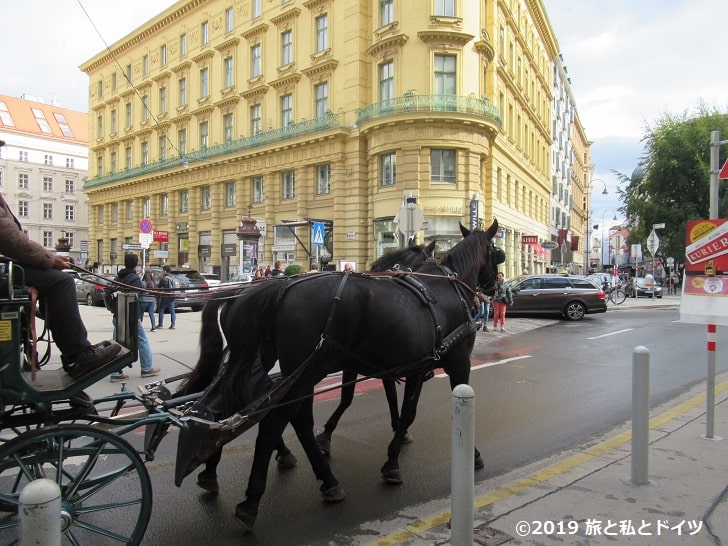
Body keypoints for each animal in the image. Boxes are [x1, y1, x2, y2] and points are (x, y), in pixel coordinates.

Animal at [182, 218, 504, 532]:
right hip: (305, 371)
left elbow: (395, 407)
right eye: (496, 253)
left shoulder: (405, 368)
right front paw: (464, 454)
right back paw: (257, 499)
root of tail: (275, 290)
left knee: (244, 407)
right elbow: (397, 408)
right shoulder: (456, 362)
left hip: (274, 366)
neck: (449, 287)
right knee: (279, 420)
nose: (497, 288)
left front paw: (393, 447)